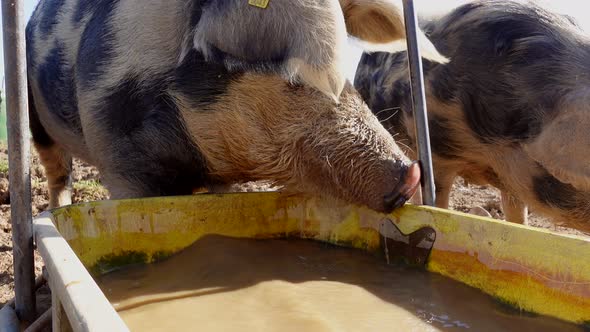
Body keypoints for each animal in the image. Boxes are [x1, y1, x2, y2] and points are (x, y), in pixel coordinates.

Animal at [24, 0, 448, 213]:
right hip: (35, 120)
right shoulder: (120, 158)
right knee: (56, 171)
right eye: (294, 79)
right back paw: (53, 214)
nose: (411, 174)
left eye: (344, 71)